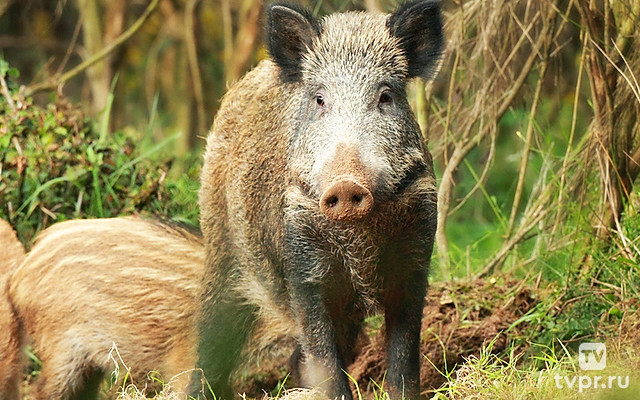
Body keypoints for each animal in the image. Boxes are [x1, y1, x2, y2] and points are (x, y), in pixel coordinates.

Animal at [194, 1, 444, 399]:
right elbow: (324, 358)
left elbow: (404, 356)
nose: (344, 184)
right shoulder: (303, 269)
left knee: (299, 357)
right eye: (320, 99)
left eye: (385, 96)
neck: (360, 240)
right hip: (222, 251)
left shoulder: (415, 260)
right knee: (209, 339)